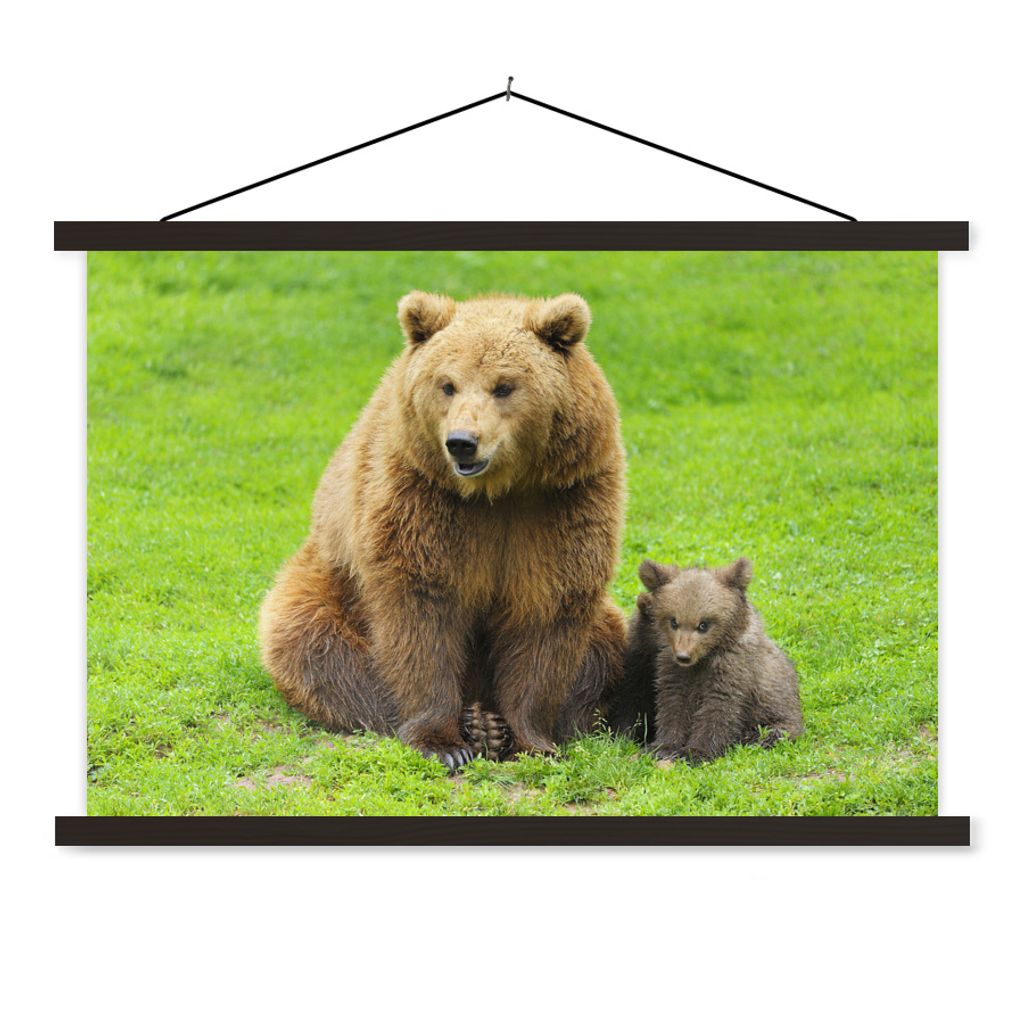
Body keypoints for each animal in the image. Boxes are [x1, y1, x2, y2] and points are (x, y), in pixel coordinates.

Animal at [259, 291, 627, 769]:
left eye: (504, 385)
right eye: (447, 384)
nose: (462, 442)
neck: (496, 492)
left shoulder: (562, 503)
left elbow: (546, 613)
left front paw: (532, 741)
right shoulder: (421, 497)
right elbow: (421, 611)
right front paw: (444, 743)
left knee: (604, 649)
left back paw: (490, 723)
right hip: (327, 582)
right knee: (311, 642)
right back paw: (468, 721)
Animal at [610, 557, 803, 763]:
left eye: (703, 624)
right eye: (673, 621)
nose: (683, 655)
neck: (703, 659)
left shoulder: (733, 672)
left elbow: (718, 710)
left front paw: (695, 752)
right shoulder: (671, 672)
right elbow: (672, 705)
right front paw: (663, 747)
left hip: (778, 715)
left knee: (772, 732)